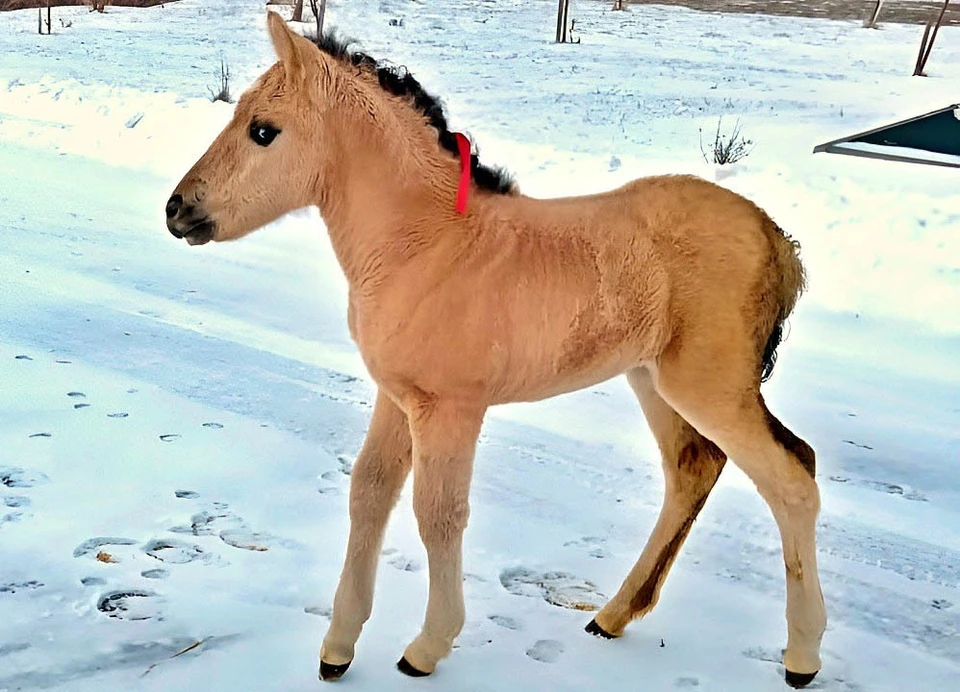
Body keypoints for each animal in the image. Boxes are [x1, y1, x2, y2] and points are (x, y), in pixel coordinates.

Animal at [165, 13, 824, 688]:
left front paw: (426, 647)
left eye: (262, 131)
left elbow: (438, 515)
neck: (424, 244)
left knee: (794, 478)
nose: (177, 209)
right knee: (694, 468)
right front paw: (337, 648)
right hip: (652, 379)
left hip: (708, 386)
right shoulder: (396, 397)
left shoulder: (450, 408)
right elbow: (369, 495)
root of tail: (777, 240)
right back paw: (611, 617)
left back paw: (802, 658)